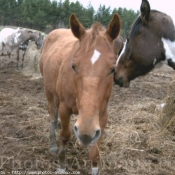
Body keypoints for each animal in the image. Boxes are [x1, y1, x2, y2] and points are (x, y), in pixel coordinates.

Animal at [40, 13, 120, 174]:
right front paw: (62, 166)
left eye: (112, 69)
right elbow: (65, 136)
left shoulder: (102, 115)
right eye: (73, 66)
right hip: (48, 91)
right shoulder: (65, 108)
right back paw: (53, 146)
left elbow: (95, 153)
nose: (85, 132)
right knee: (52, 117)